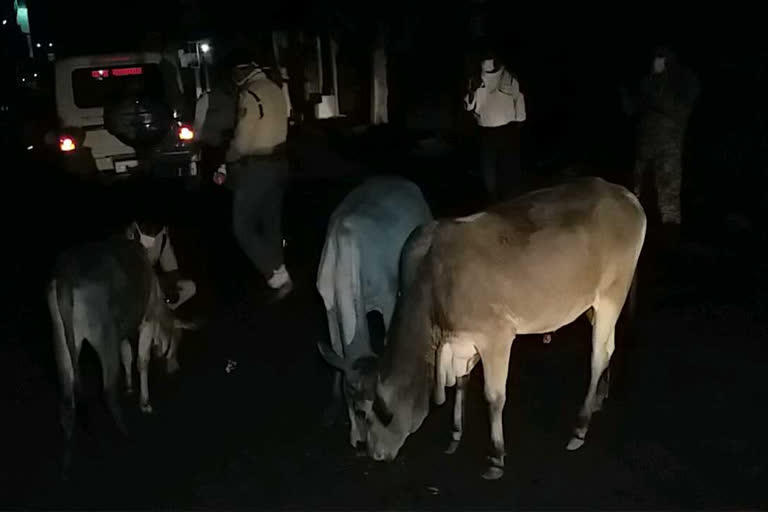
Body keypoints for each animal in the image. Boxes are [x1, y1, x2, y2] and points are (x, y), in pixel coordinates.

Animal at [316, 176, 432, 448]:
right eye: (357, 408)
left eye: (377, 409)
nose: (359, 443)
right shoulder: (329, 306)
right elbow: (335, 352)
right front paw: (331, 410)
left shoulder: (387, 298)